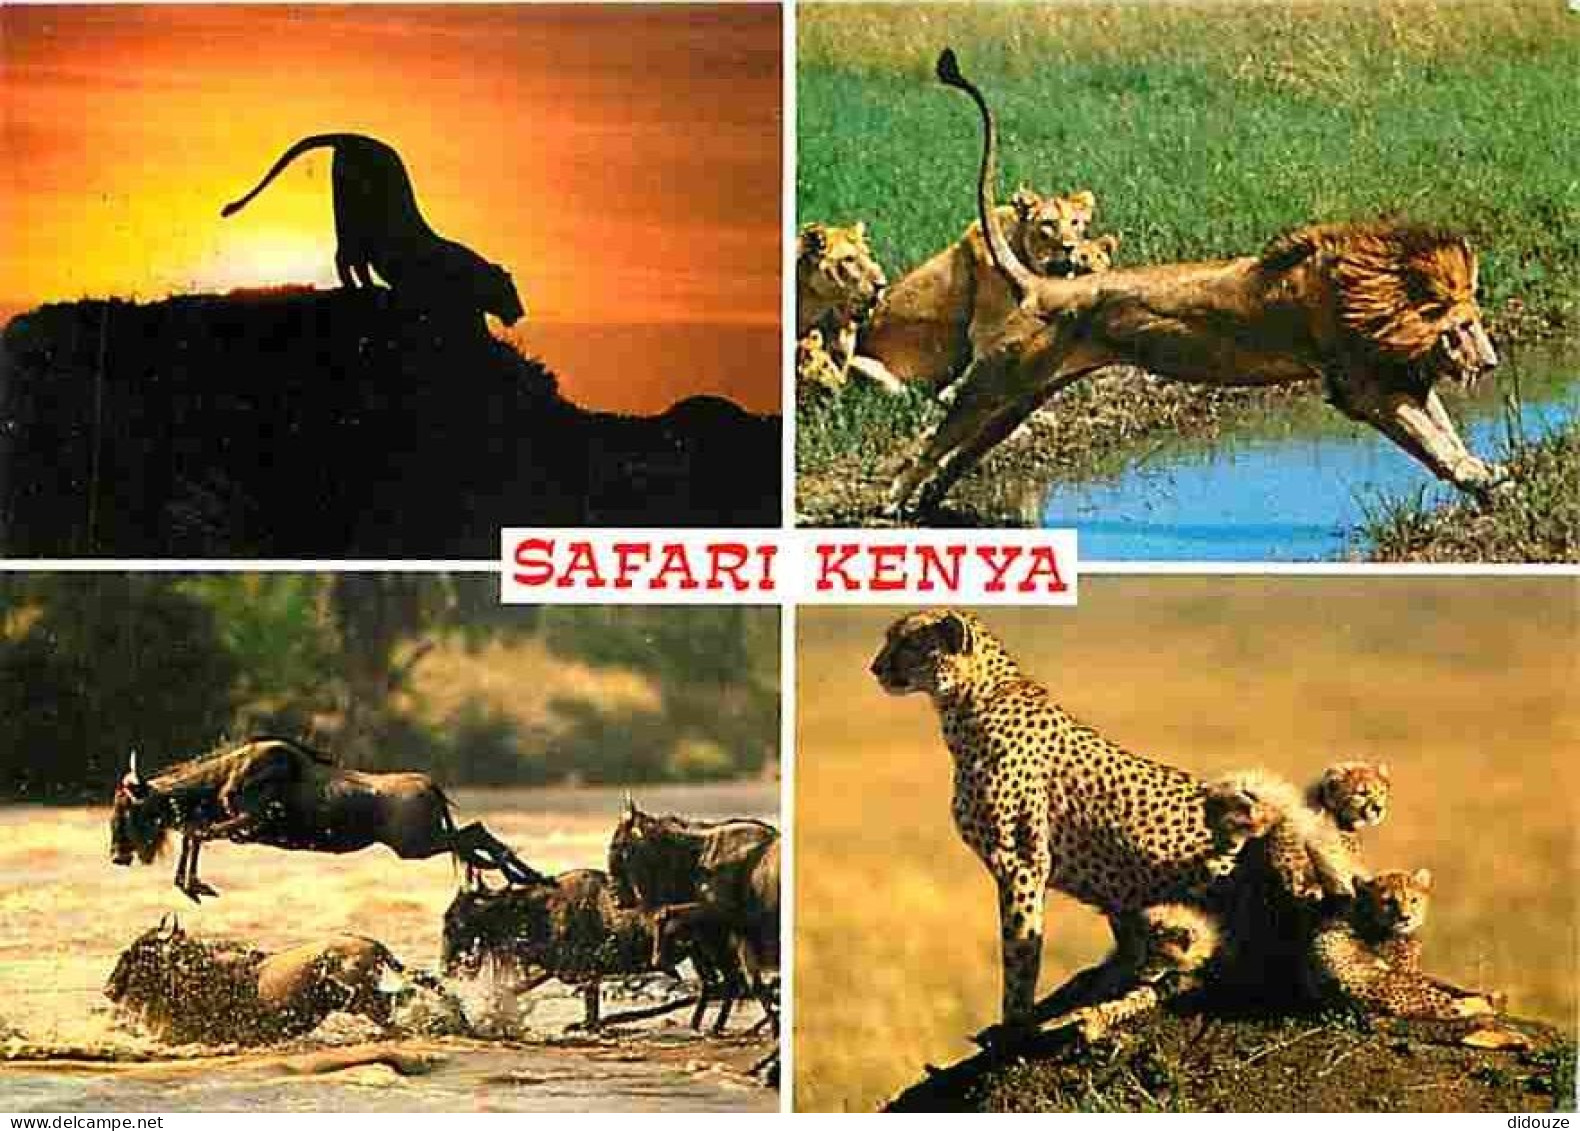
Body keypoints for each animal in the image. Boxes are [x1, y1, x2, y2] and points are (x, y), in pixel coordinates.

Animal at [221, 133, 524, 327]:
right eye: (509, 290)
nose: (521, 313)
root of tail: (350, 137)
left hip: (351, 223)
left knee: (354, 260)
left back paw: (367, 289)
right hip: (351, 220)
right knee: (345, 258)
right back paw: (361, 291)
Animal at [885, 50, 1504, 517]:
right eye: (1464, 324)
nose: (1493, 363)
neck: (1380, 292)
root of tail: (1044, 288)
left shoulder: (1400, 371)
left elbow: (1443, 429)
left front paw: (1484, 476)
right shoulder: (1360, 386)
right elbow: (1426, 439)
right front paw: (1476, 476)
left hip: (1022, 399)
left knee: (960, 454)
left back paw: (930, 502)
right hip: (994, 382)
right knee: (932, 443)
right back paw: (893, 500)